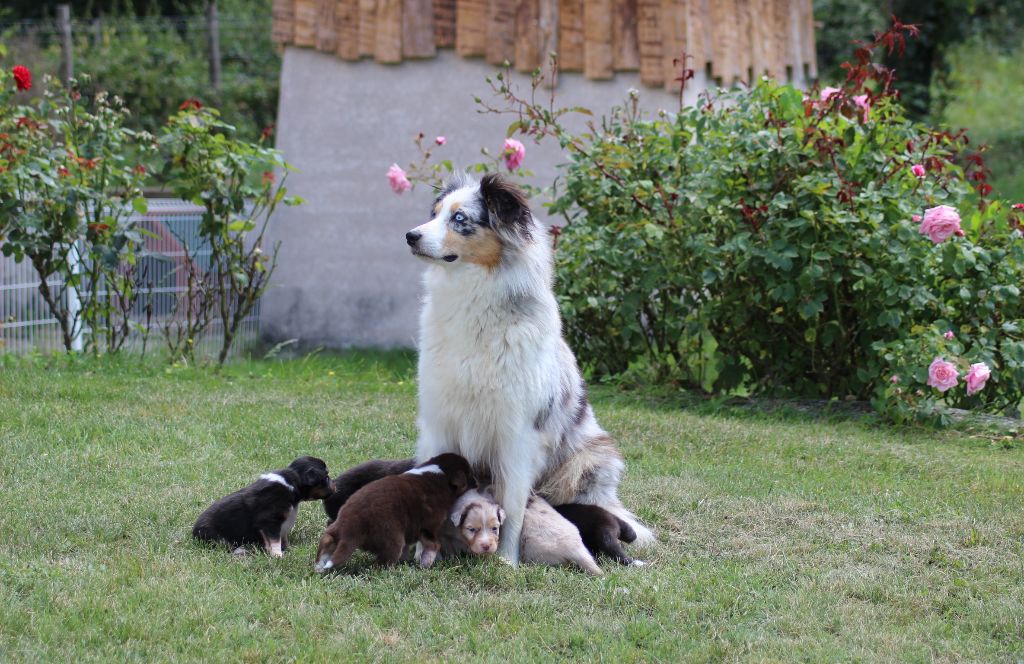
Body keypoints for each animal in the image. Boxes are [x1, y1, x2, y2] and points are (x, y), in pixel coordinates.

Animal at [192, 457, 331, 553]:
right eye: (326, 477)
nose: (334, 485)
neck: (291, 482)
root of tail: (193, 533)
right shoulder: (269, 521)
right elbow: (275, 541)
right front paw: (278, 555)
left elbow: (283, 537)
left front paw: (289, 549)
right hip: (217, 537)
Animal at [313, 452, 473, 573]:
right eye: (470, 474)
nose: (477, 482)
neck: (440, 473)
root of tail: (349, 528)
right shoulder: (429, 525)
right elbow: (433, 544)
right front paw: (425, 563)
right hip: (392, 540)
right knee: (380, 564)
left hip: (335, 527)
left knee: (326, 540)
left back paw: (319, 565)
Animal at [403, 174, 651, 561]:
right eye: (435, 213)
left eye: (460, 219)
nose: (411, 235)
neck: (474, 300)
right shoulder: (439, 419)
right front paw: (422, 554)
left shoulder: (518, 432)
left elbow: (513, 505)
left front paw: (506, 559)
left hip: (589, 459)